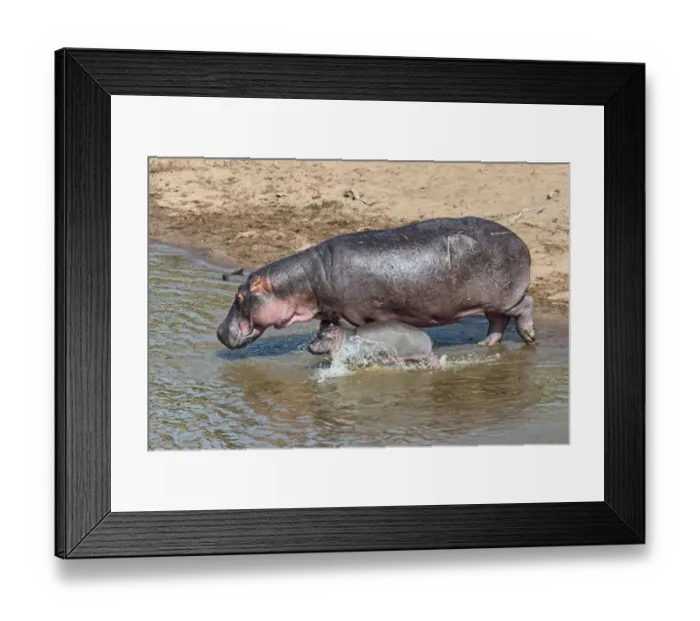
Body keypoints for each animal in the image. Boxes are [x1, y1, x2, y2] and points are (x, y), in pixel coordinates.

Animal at [216, 216, 535, 350]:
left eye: (240, 297)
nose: (218, 332)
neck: (303, 282)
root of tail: (522, 242)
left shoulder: (350, 316)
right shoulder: (332, 313)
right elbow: (324, 331)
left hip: (505, 296)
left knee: (524, 307)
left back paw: (530, 338)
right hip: (490, 301)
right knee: (497, 321)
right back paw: (485, 344)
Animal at [307, 320, 439, 365]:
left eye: (323, 336)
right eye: (317, 333)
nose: (309, 346)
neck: (343, 337)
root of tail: (428, 337)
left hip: (421, 355)